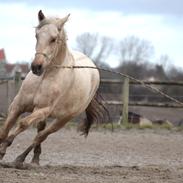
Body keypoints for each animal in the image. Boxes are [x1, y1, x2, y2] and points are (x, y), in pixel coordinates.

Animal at [0, 10, 107, 167]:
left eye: (54, 39)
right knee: (40, 132)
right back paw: (34, 159)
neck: (45, 77)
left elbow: (22, 124)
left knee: (41, 136)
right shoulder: (17, 105)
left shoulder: (43, 109)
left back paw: (21, 159)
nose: (36, 67)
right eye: (37, 35)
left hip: (63, 120)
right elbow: (5, 128)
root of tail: (94, 69)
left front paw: (3, 149)